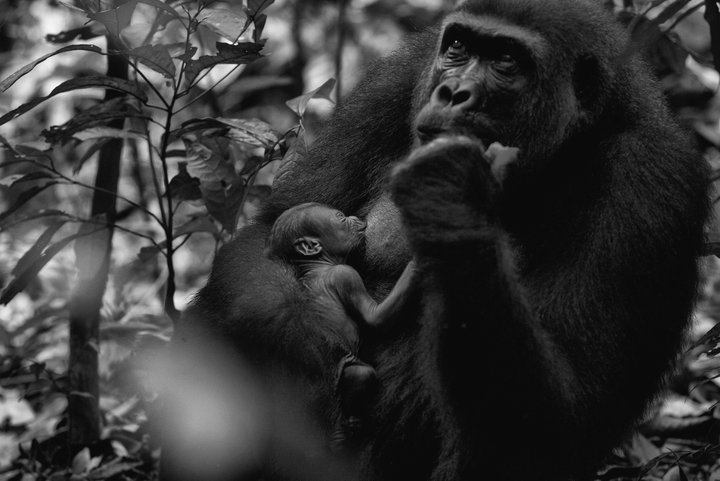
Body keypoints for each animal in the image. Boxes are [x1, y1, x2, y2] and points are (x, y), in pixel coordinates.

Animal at [264, 201, 416, 444]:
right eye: (340, 217)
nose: (355, 217)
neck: (318, 264)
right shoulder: (346, 275)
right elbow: (374, 318)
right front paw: (414, 267)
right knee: (359, 375)